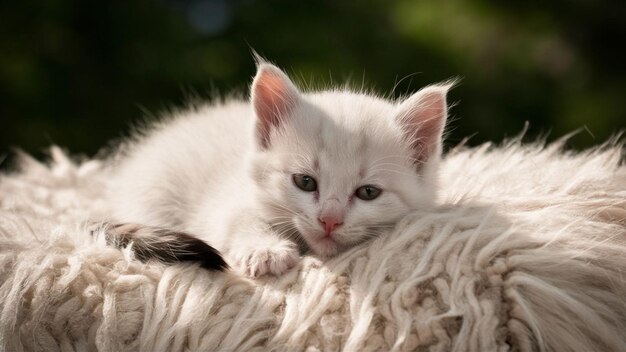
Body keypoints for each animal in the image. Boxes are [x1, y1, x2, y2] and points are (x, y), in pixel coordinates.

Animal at [106, 59, 448, 276]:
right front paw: (265, 249)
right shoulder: (227, 197)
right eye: (305, 182)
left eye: (368, 192)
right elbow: (237, 217)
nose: (329, 220)